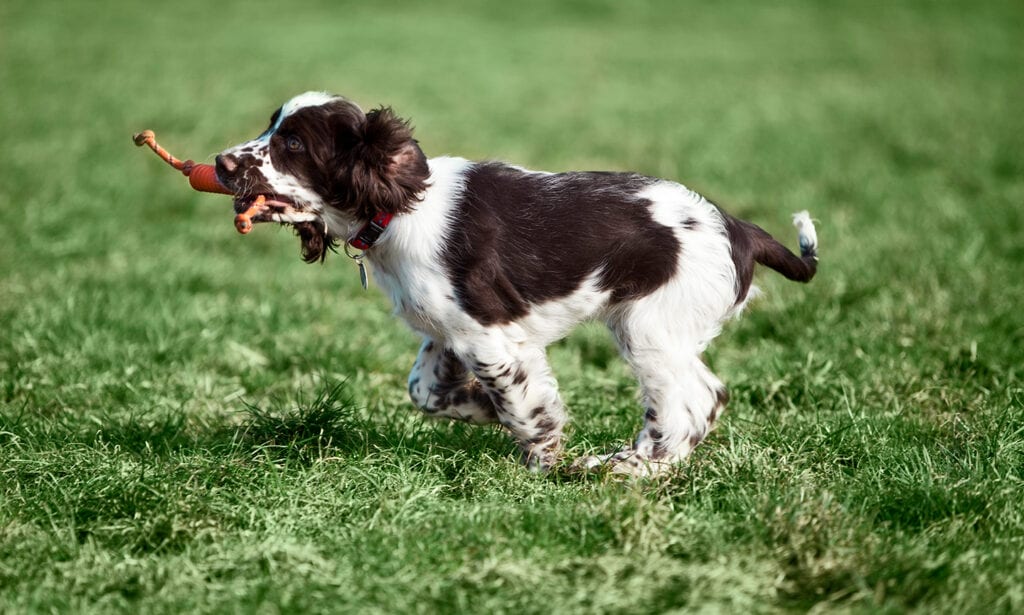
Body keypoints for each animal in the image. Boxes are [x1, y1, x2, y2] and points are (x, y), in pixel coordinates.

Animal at [214, 91, 815, 474]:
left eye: (293, 144)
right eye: (271, 128)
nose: (220, 163)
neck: (399, 210)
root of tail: (738, 229)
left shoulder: (491, 334)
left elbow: (525, 404)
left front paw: (542, 457)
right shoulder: (448, 331)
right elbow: (425, 390)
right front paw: (480, 409)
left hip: (649, 326)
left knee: (691, 399)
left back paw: (631, 469)